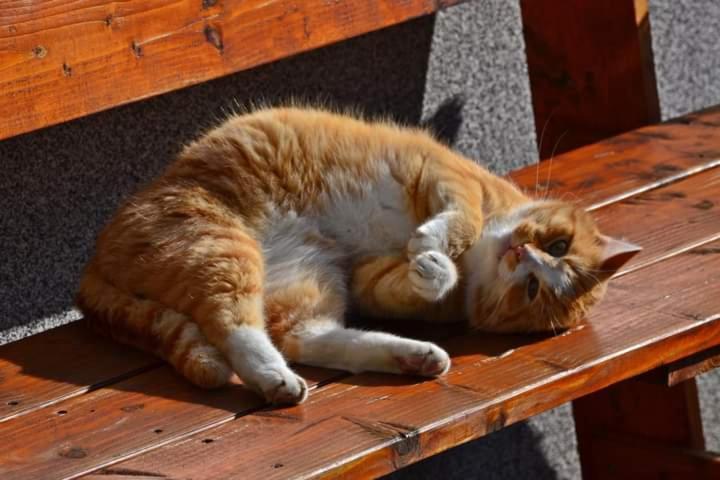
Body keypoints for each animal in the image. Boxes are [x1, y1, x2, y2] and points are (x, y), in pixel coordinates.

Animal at [76, 107, 640, 404]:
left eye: (532, 287)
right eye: (556, 246)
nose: (520, 251)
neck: (479, 260)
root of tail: (93, 263)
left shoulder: (371, 280)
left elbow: (409, 279)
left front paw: (431, 268)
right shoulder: (444, 173)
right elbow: (461, 218)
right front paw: (435, 248)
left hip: (301, 276)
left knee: (300, 336)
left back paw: (407, 357)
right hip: (220, 243)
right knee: (234, 323)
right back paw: (277, 376)